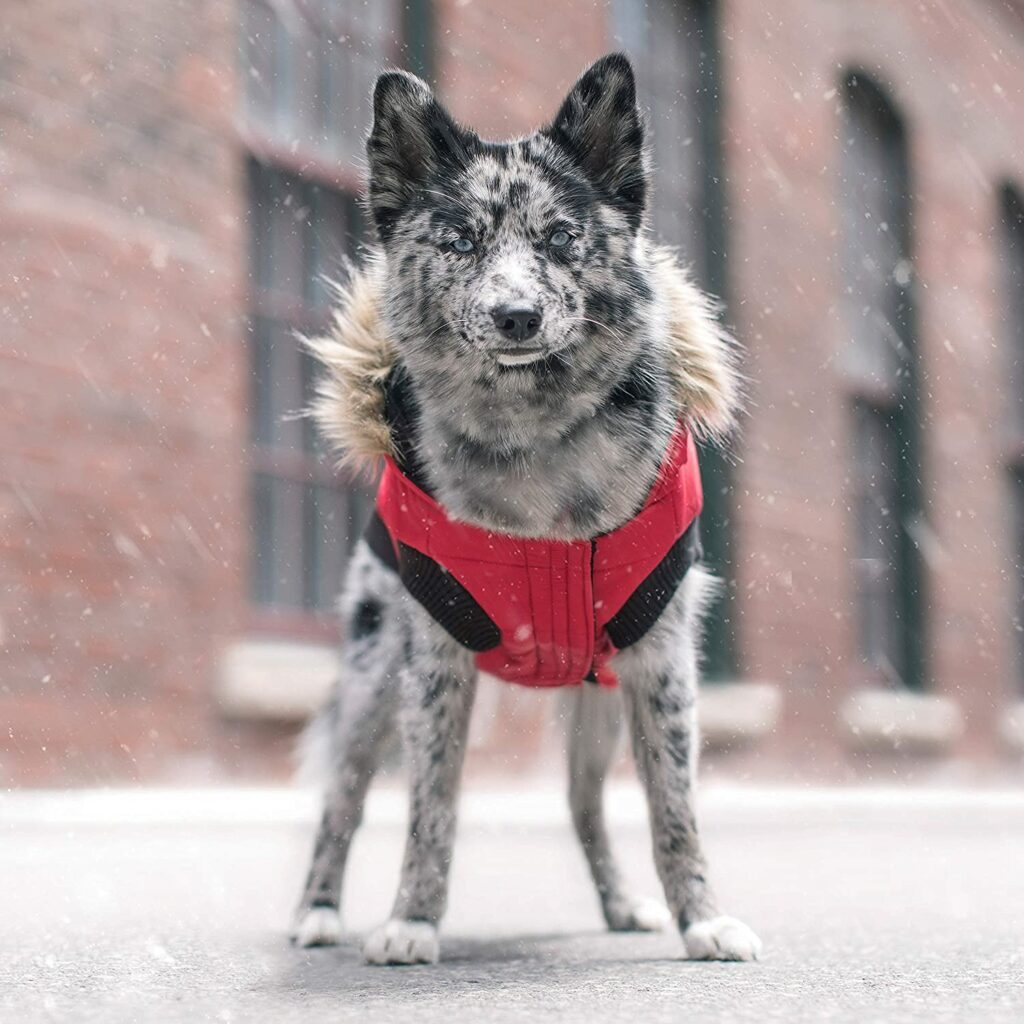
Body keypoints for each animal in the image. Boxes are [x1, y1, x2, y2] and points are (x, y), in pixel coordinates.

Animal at [294, 51, 761, 962]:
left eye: (559, 239)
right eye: (461, 240)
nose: (517, 315)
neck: (536, 442)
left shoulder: (662, 666)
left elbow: (674, 811)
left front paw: (703, 918)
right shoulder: (435, 667)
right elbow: (430, 810)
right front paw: (412, 919)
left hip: (599, 707)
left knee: (586, 809)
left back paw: (621, 905)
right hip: (372, 679)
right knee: (342, 801)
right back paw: (318, 911)